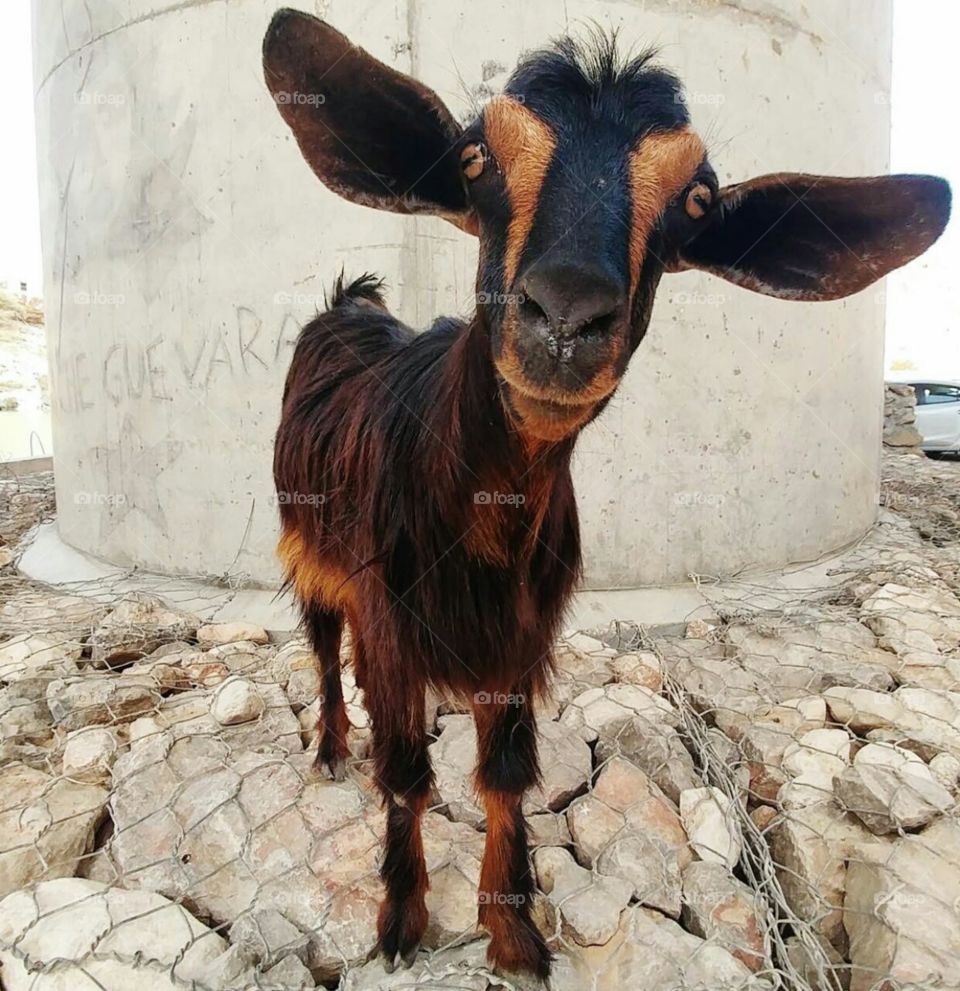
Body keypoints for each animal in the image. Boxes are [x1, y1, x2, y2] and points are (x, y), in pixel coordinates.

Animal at [262, 9, 950, 979]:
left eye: (697, 200)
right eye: (474, 158)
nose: (565, 316)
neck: (485, 520)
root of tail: (353, 304)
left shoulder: (520, 636)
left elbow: (505, 774)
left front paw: (514, 931)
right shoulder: (390, 609)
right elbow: (404, 775)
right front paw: (401, 918)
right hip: (308, 541)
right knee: (325, 645)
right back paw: (329, 748)